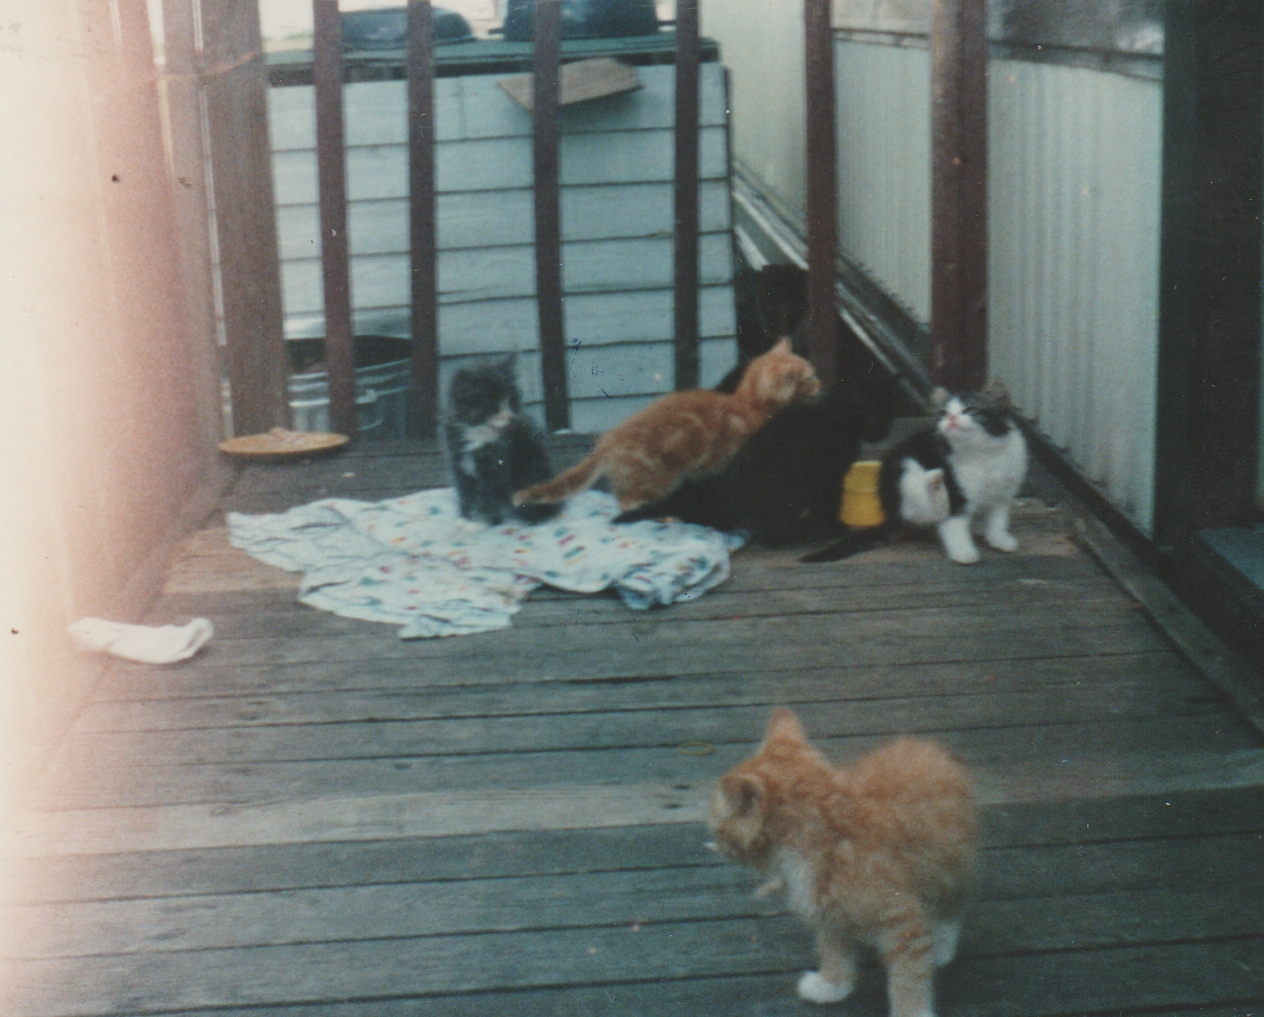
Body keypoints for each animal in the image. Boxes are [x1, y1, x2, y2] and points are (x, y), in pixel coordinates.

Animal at [447, 356, 561, 528]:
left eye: (512, 401)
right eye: (493, 406)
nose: (512, 419)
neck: (479, 434)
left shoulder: (497, 466)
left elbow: (489, 496)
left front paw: (485, 522)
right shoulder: (459, 462)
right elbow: (466, 494)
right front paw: (465, 519)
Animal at [510, 341, 819, 512]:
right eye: (809, 378)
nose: (821, 384)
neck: (746, 406)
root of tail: (609, 440)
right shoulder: (727, 458)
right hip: (656, 479)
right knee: (628, 503)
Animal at [712, 712, 975, 1010]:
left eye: (717, 828)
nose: (716, 845)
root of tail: (929, 748)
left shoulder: (902, 921)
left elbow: (908, 979)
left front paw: (912, 1010)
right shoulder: (828, 911)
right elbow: (833, 951)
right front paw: (831, 985)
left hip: (949, 864)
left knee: (952, 905)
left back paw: (942, 942)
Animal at [798, 384, 1026, 563]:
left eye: (970, 409)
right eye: (943, 413)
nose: (951, 418)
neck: (982, 453)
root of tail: (891, 513)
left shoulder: (1003, 492)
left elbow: (998, 518)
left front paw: (1000, 538)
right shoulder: (956, 493)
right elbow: (954, 523)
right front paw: (963, 551)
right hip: (905, 476)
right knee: (932, 507)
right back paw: (934, 483)